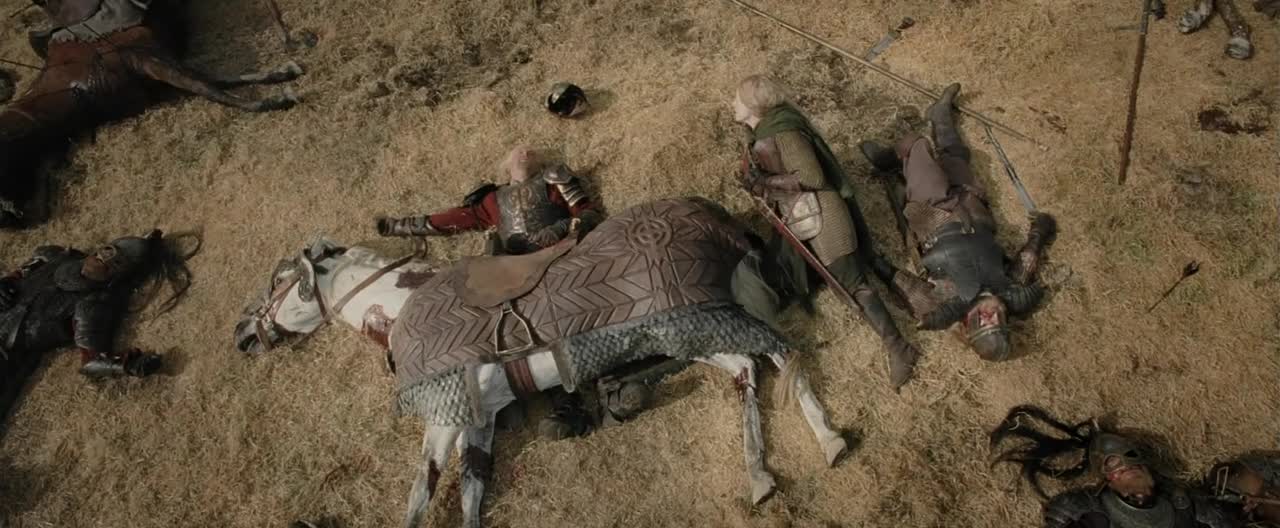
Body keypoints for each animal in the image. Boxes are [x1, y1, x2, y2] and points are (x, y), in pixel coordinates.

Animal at [0, 0, 304, 228]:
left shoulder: (147, 58)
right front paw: (280, 86)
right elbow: (213, 84)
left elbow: (212, 85)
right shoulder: (154, 71)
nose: (12, 215)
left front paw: (282, 84)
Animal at [234, 198, 851, 528]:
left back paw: (830, 441)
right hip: (687, 331)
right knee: (748, 366)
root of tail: (716, 217)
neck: (404, 308)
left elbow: (419, 496)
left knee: (778, 350)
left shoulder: (444, 416)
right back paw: (759, 475)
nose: (244, 335)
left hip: (695, 319)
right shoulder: (477, 419)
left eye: (277, 281)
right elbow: (470, 495)